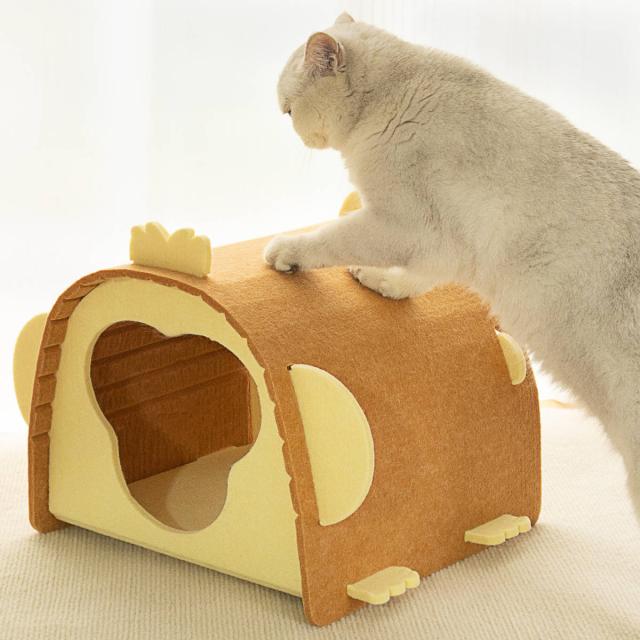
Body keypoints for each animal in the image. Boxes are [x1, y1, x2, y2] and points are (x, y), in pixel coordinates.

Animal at [264, 12, 640, 524]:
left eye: (288, 110)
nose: (295, 131)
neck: (394, 95)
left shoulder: (405, 224)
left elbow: (332, 236)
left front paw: (286, 251)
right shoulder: (446, 248)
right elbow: (414, 278)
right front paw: (379, 282)